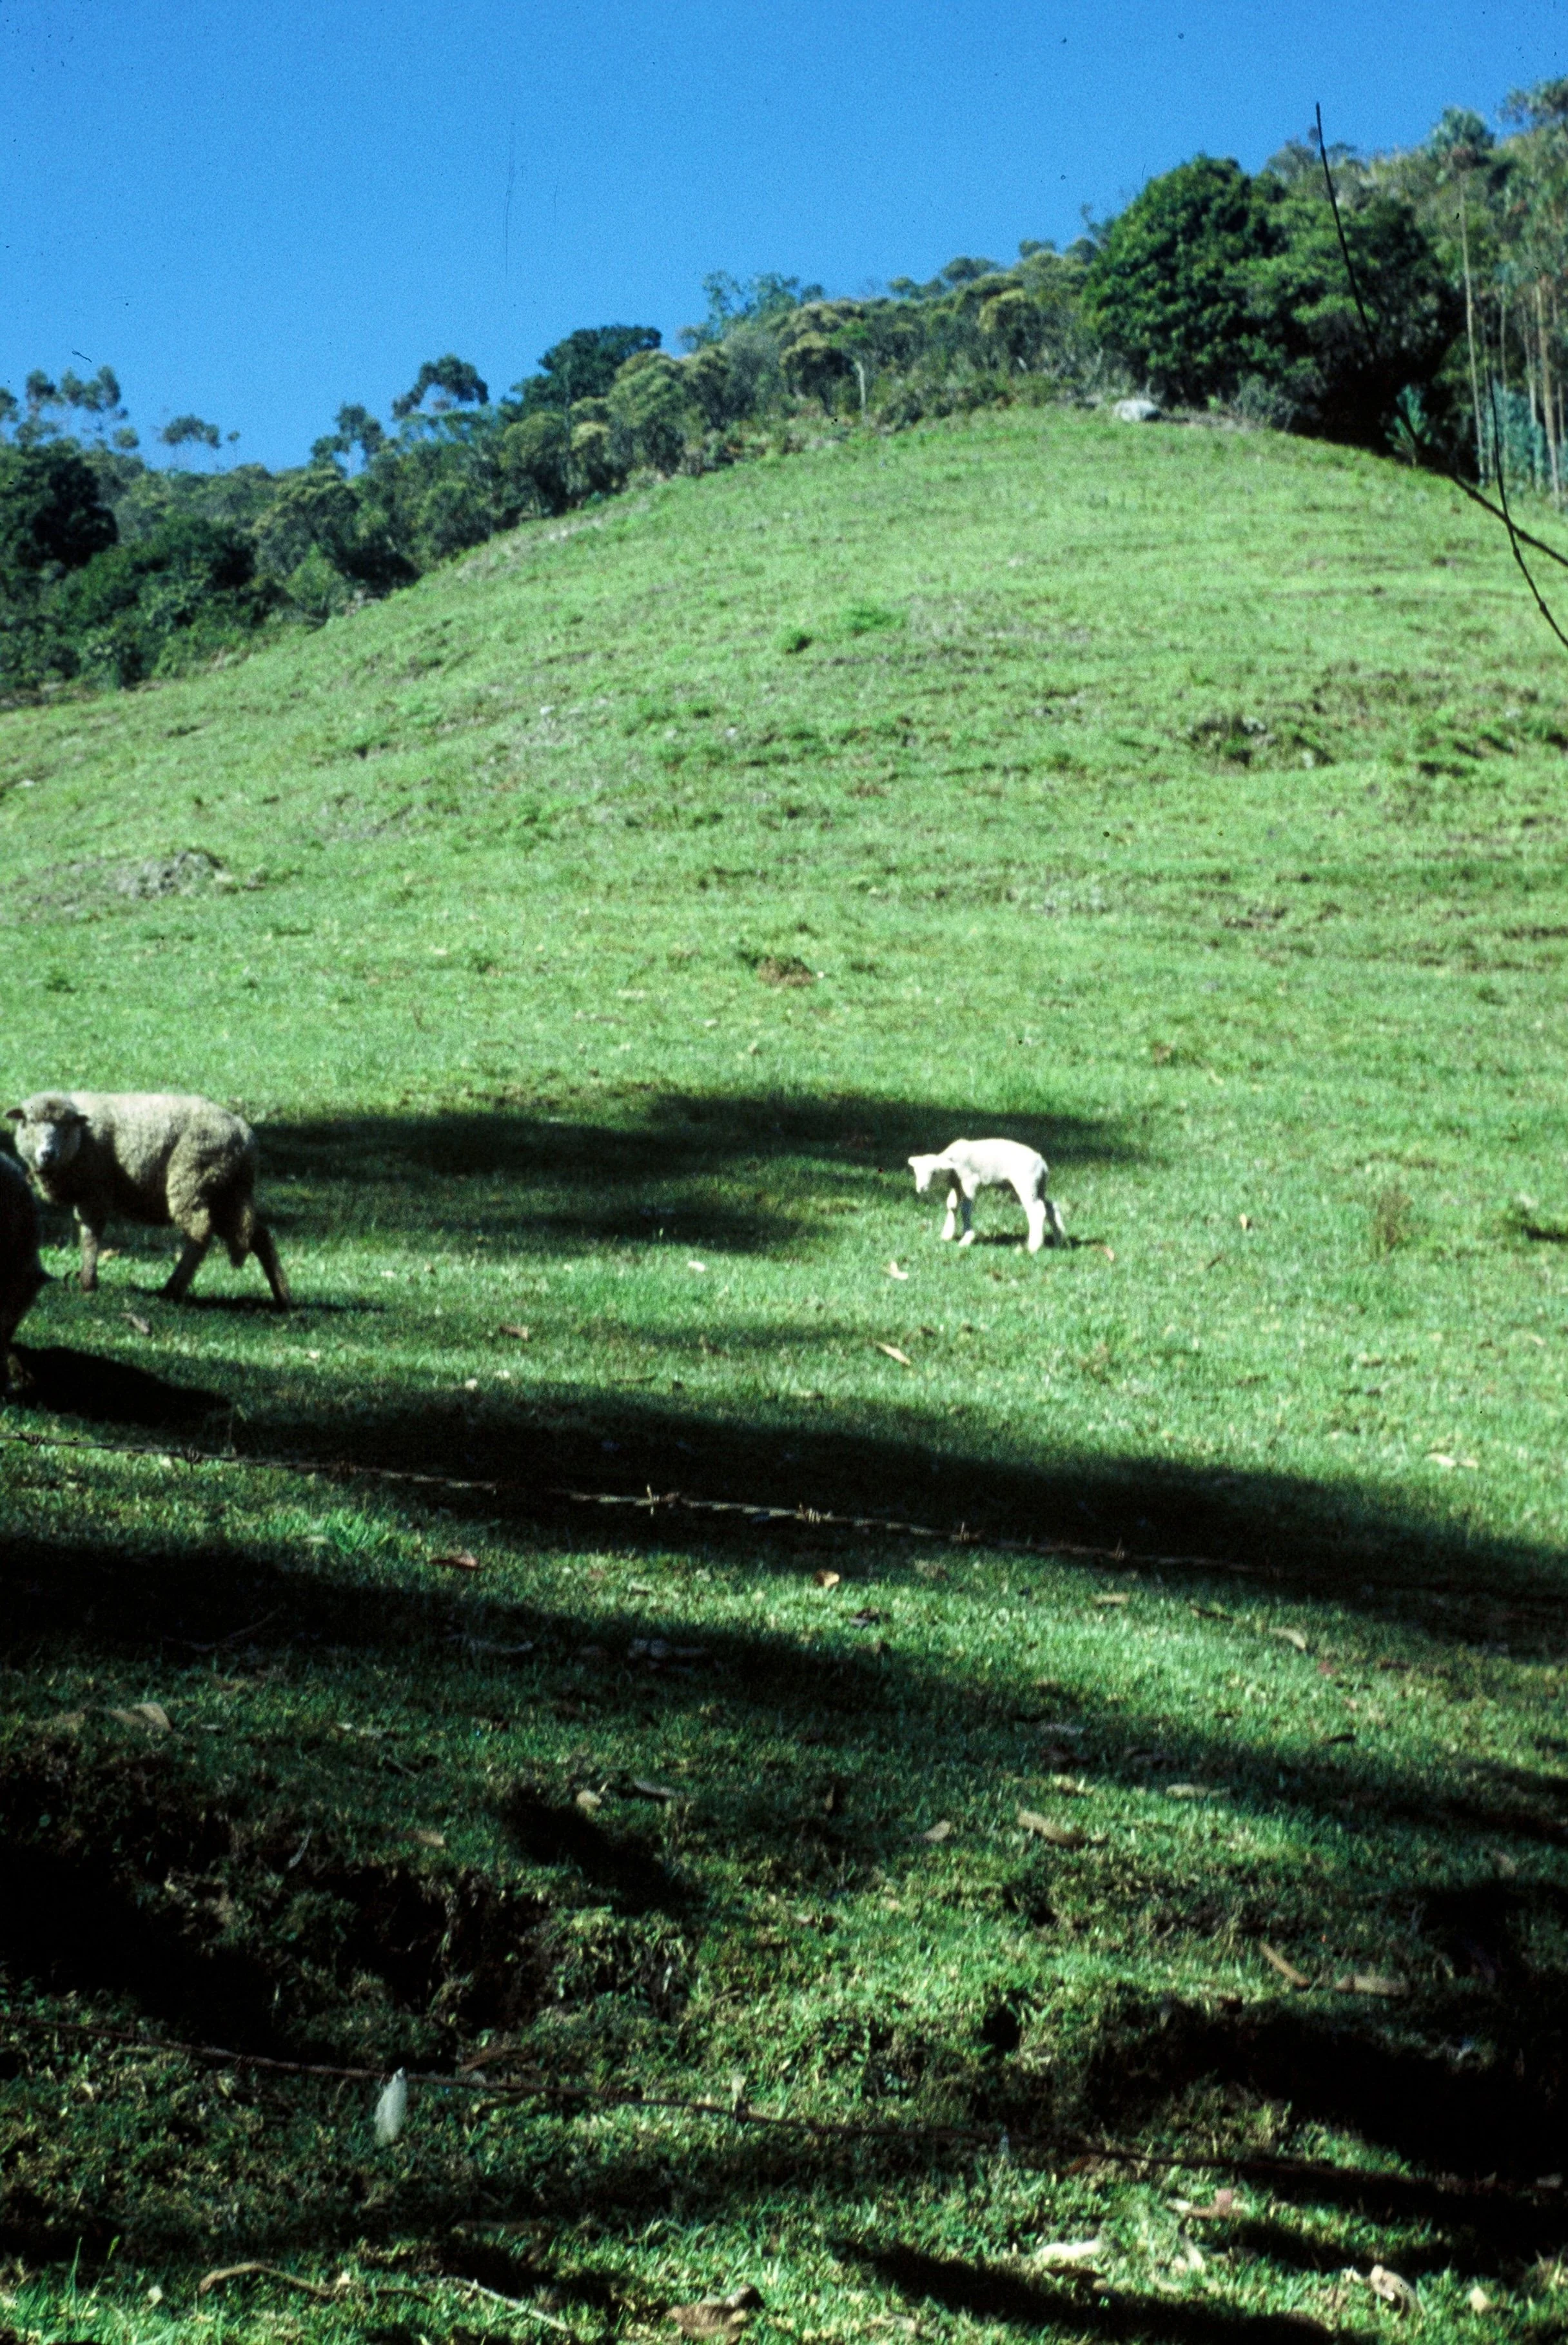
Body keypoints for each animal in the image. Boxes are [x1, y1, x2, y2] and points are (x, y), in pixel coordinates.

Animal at [6, 1090, 292, 1308]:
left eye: (66, 1127)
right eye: (28, 1122)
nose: (47, 1154)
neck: (81, 1140)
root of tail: (245, 1135)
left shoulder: (96, 1191)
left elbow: (91, 1237)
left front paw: (88, 1283)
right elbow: (87, 1233)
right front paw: (86, 1280)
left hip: (193, 1181)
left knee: (200, 1233)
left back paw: (172, 1289)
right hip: (226, 1193)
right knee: (260, 1235)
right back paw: (283, 1297)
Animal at [908, 1137, 1067, 1254]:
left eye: (934, 1172)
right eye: (916, 1172)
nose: (921, 1188)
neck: (953, 1166)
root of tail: (1042, 1164)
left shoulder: (969, 1181)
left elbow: (966, 1208)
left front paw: (967, 1238)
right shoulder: (957, 1185)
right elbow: (952, 1205)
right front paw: (947, 1235)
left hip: (1027, 1184)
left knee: (1037, 1211)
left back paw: (1034, 1246)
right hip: (1038, 1186)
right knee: (1050, 1207)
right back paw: (1060, 1240)